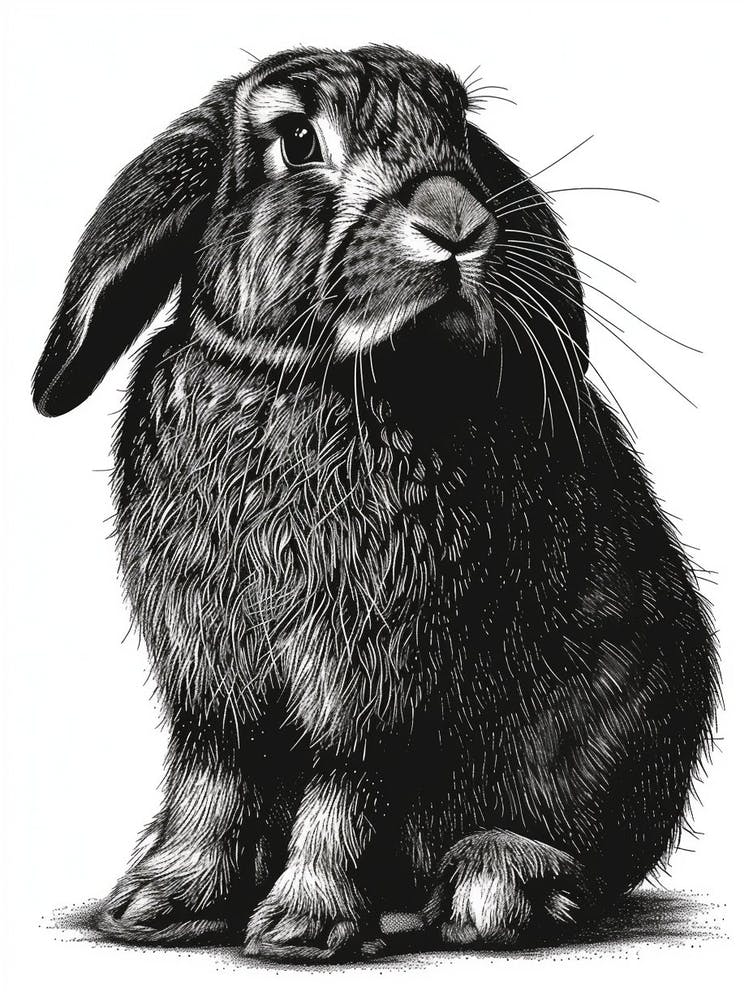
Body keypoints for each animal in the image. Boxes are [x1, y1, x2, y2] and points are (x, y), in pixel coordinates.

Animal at [33, 44, 718, 961]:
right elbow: (213, 776)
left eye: (456, 131)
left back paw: (497, 886)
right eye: (296, 141)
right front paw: (158, 907)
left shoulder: (373, 672)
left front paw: (302, 928)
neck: (302, 374)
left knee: (573, 859)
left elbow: (344, 788)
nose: (456, 223)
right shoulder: (209, 671)